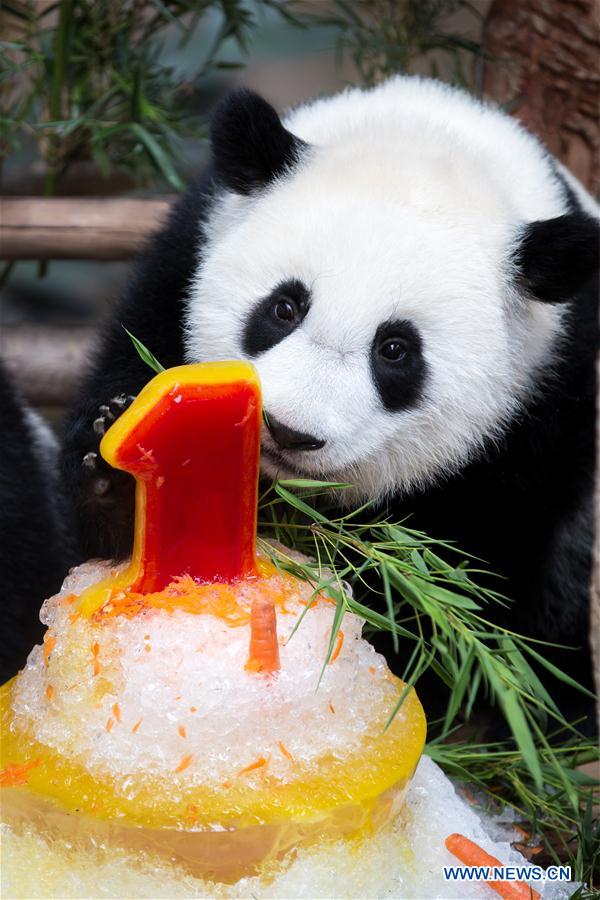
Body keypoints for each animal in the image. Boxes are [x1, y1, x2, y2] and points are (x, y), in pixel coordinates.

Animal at [61, 77, 599, 720]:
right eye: (283, 307)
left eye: (395, 350)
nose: (288, 431)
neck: (432, 136)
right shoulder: (178, 267)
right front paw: (120, 477)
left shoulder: (546, 407)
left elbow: (471, 594)